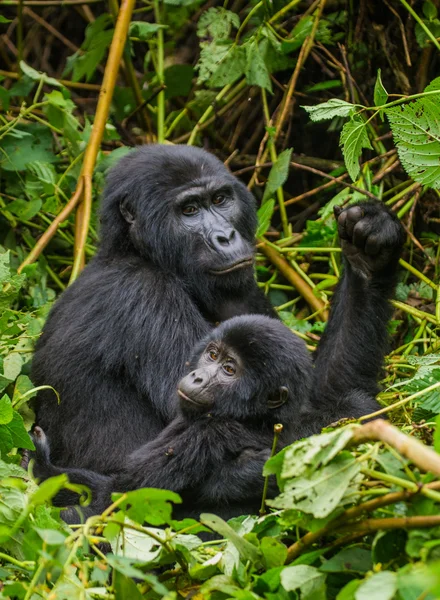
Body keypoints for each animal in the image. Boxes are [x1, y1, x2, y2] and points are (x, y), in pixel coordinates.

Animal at [31, 144, 406, 474]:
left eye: (220, 200)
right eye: (189, 210)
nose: (226, 236)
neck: (137, 252)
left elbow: (304, 386)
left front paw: (369, 251)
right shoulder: (141, 293)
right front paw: (358, 412)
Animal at [31, 316, 312, 524]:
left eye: (229, 369)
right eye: (213, 355)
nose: (197, 377)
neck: (259, 419)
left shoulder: (208, 433)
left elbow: (112, 500)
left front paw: (41, 466)